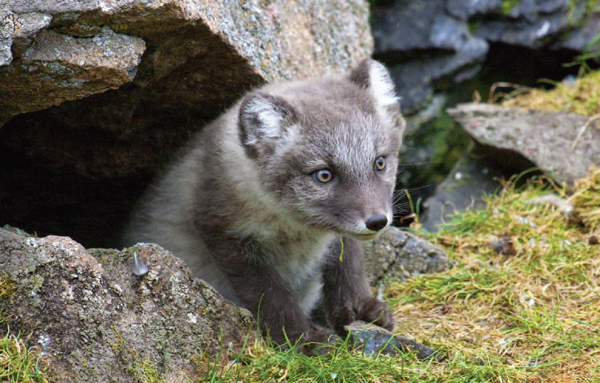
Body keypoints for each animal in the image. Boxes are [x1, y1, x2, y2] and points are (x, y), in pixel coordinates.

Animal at [126, 59, 408, 352]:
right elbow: (271, 295)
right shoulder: (227, 233)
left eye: (379, 162)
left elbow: (347, 266)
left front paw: (360, 310)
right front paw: (301, 340)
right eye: (323, 175)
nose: (377, 221)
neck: (299, 232)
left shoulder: (338, 233)